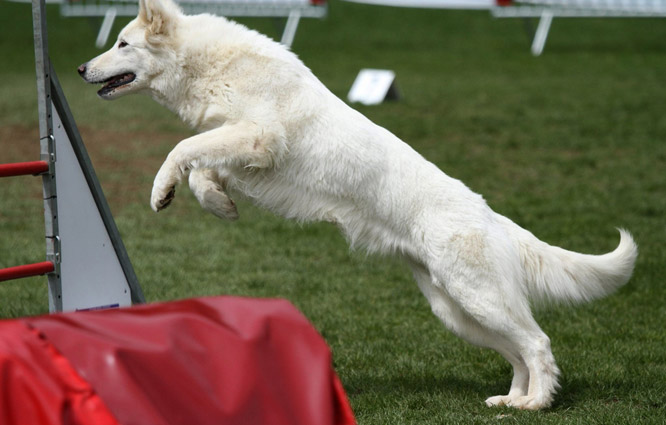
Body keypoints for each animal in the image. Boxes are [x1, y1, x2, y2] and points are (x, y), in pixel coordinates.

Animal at [80, 0, 636, 410]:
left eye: (122, 43)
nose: (83, 67)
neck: (212, 64)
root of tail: (492, 217)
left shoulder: (256, 136)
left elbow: (181, 151)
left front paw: (161, 191)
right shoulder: (242, 149)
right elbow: (201, 170)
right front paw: (219, 207)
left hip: (478, 297)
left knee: (538, 344)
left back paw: (537, 404)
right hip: (458, 312)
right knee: (519, 352)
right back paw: (511, 401)